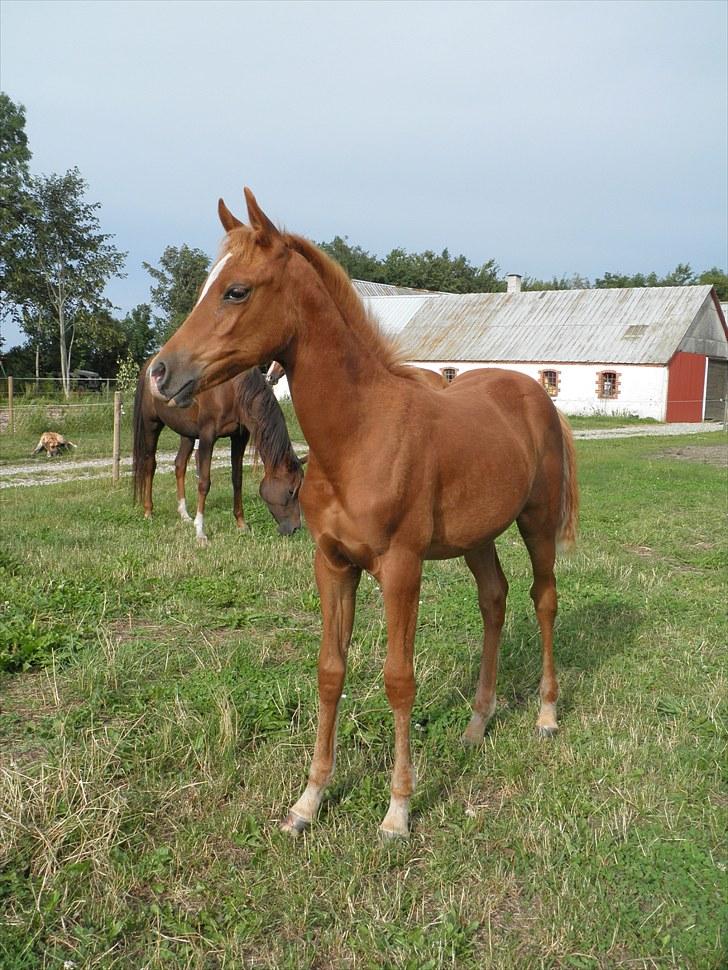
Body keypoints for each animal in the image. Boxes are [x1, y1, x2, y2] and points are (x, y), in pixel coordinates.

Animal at [133, 364, 304, 544]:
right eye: (291, 491)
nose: (295, 528)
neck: (232, 388)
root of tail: (150, 364)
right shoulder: (207, 436)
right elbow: (204, 483)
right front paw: (200, 532)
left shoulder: (239, 437)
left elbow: (237, 480)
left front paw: (241, 524)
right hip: (151, 425)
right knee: (150, 465)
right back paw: (148, 512)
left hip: (187, 432)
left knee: (180, 465)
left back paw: (184, 514)